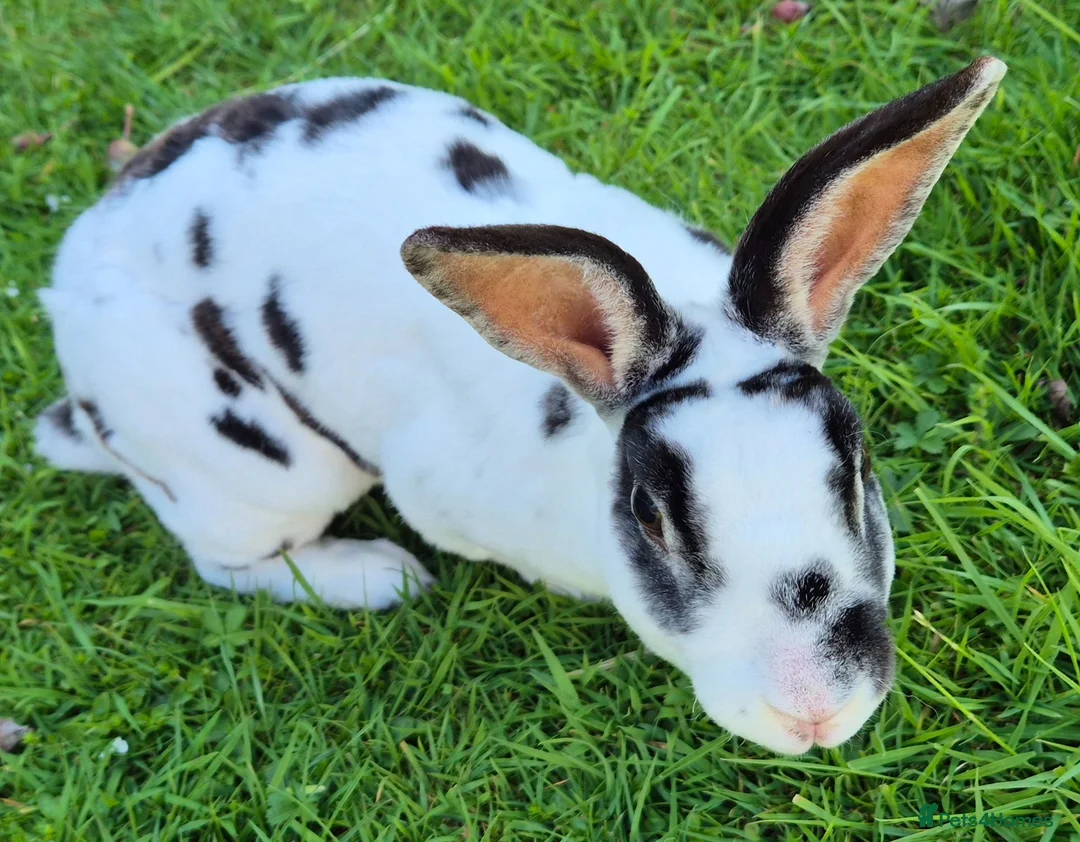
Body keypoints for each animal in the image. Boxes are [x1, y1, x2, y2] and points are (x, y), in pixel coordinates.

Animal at [34, 57, 1005, 754]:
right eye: (650, 518)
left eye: (855, 473)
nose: (813, 712)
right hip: (260, 473)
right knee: (230, 562)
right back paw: (378, 575)